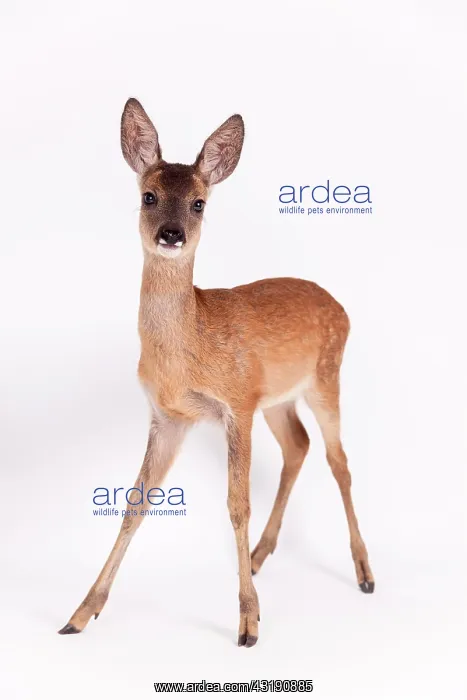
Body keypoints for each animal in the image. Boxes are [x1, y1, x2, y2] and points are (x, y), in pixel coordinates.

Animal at [58, 98, 374, 648]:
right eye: (149, 196)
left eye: (199, 203)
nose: (171, 234)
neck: (189, 349)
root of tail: (340, 306)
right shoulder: (170, 416)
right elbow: (135, 503)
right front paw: (81, 612)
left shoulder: (236, 404)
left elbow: (236, 504)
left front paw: (248, 622)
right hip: (277, 400)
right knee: (298, 446)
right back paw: (260, 556)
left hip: (326, 377)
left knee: (339, 460)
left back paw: (363, 572)